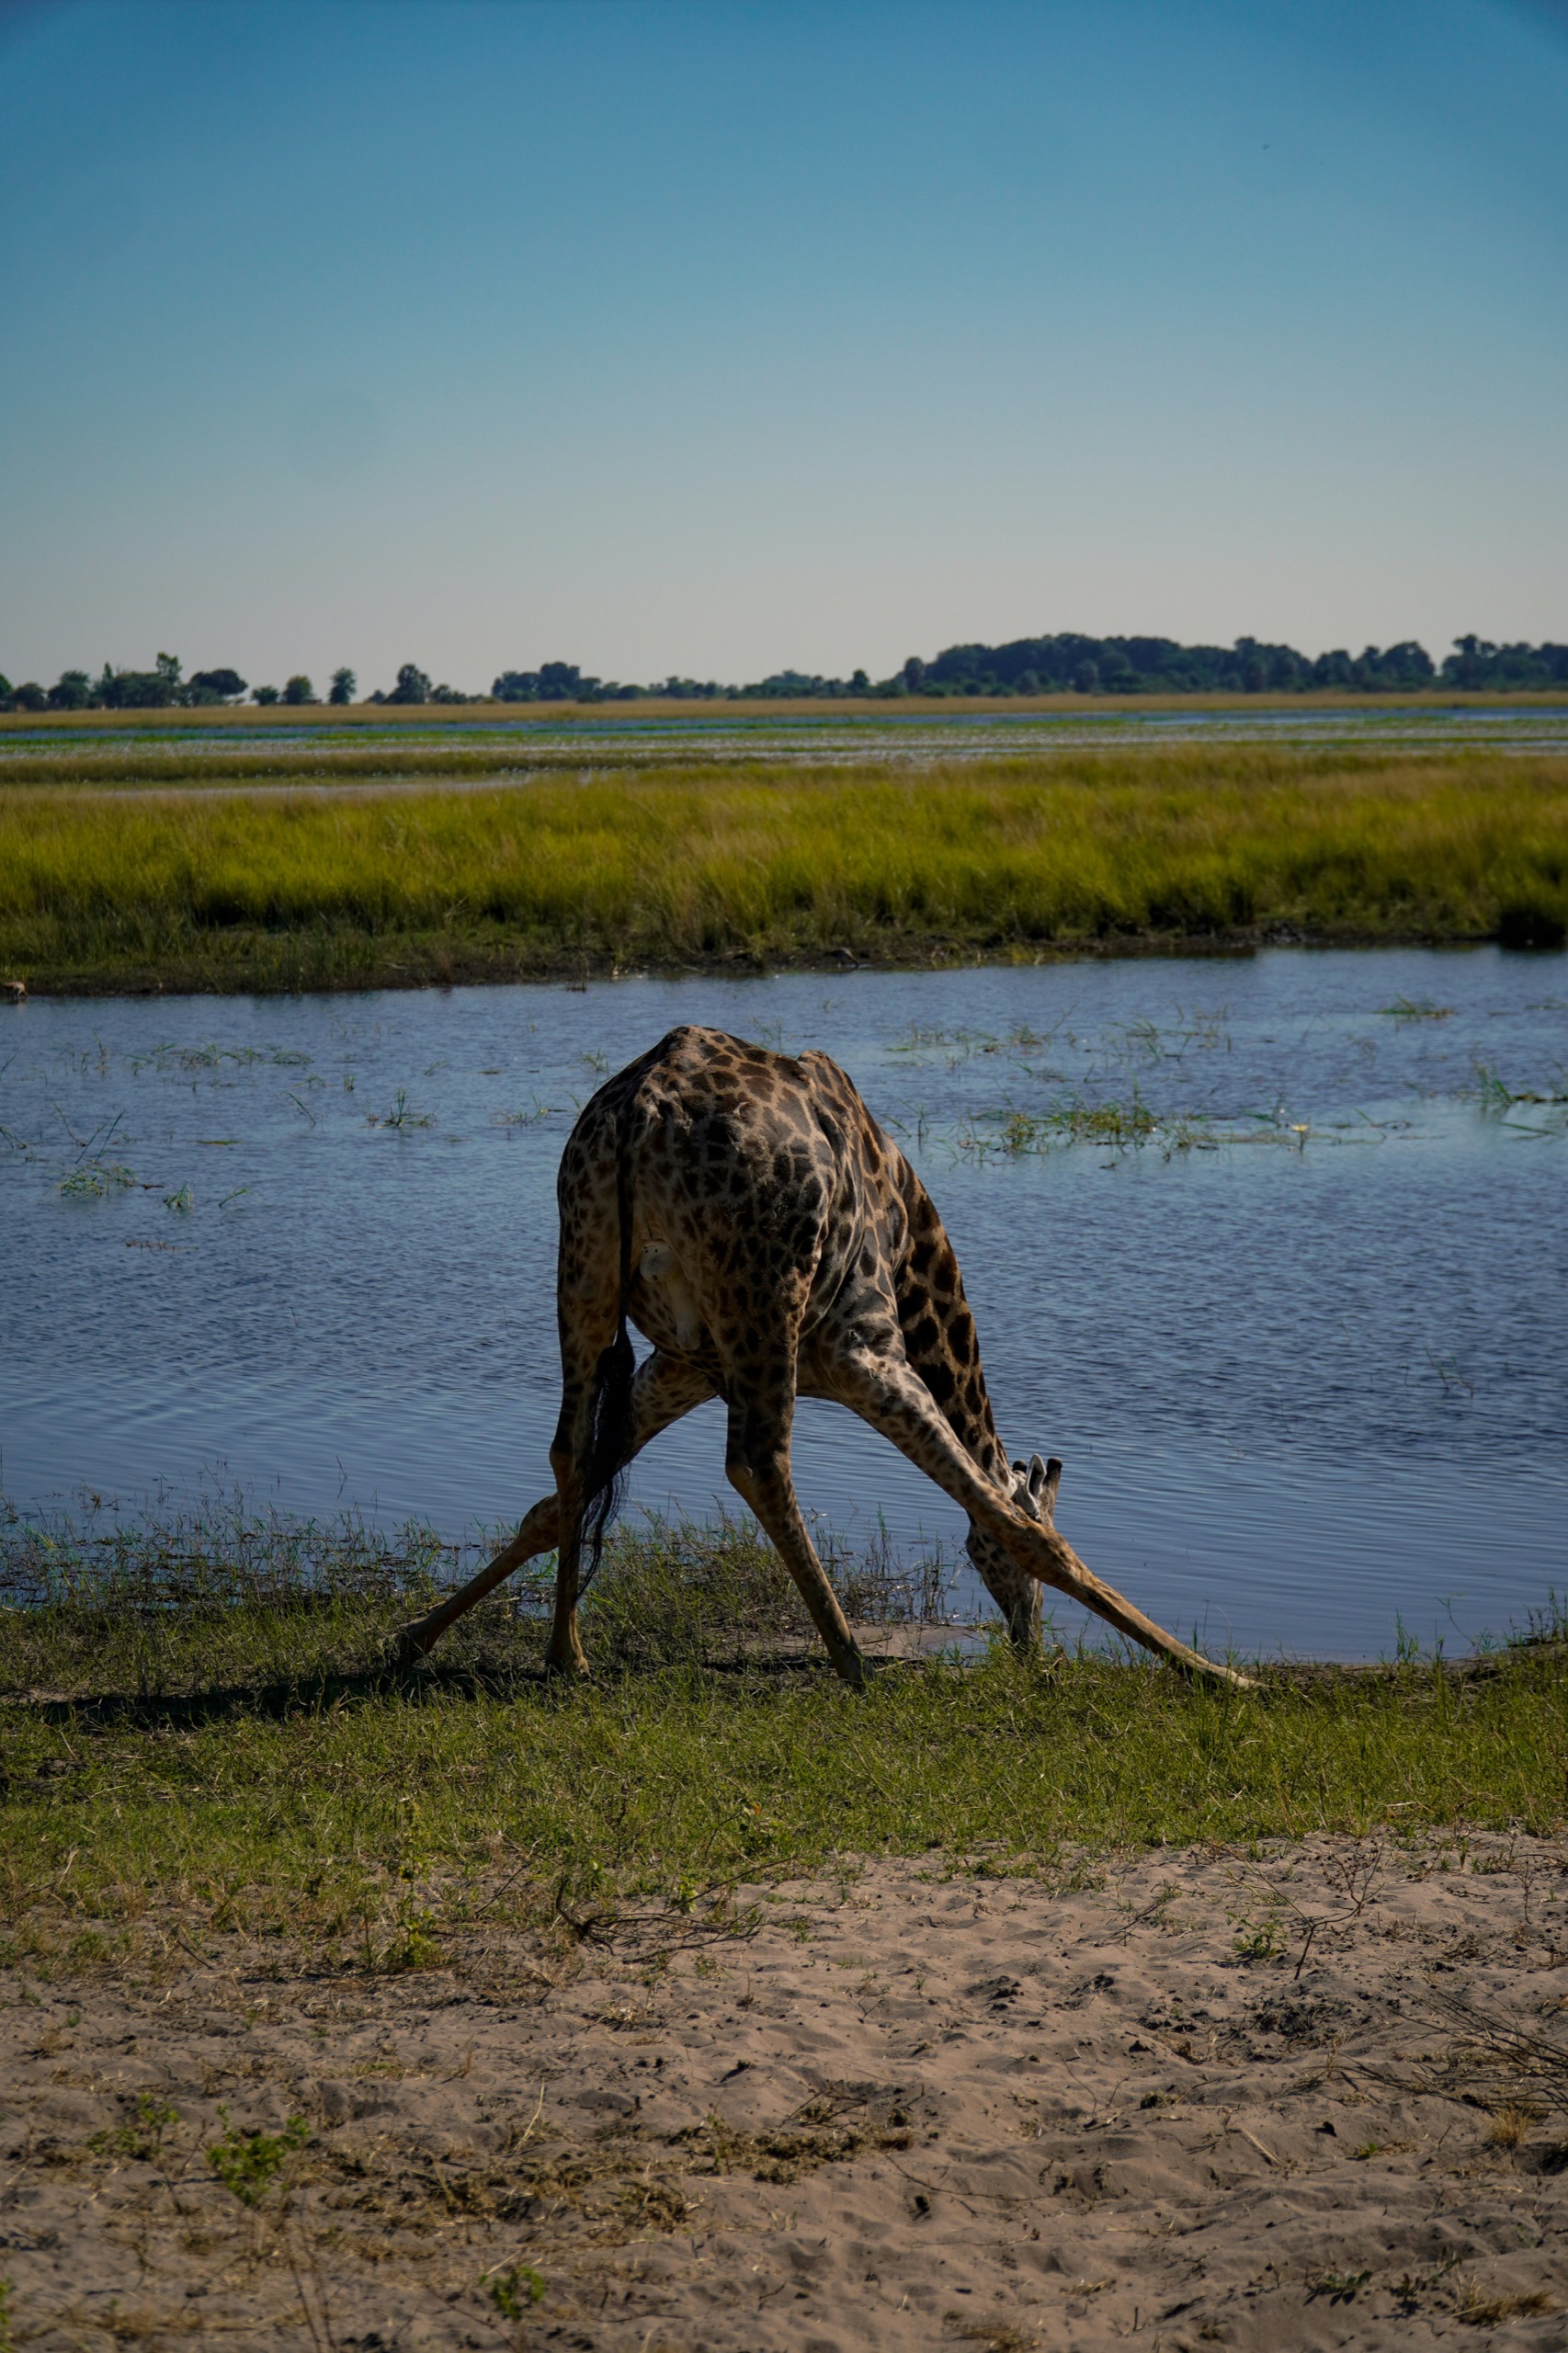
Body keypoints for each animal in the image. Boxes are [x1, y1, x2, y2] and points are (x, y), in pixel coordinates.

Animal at [394, 1025, 1247, 1687]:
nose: (1026, 1642)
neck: (916, 1264)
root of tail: (639, 1112)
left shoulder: (686, 1365)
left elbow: (548, 1506)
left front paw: (415, 1635)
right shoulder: (862, 1346)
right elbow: (1016, 1522)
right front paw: (1221, 1675)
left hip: (587, 1271)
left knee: (569, 1450)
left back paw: (567, 1654)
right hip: (767, 1298)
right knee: (759, 1461)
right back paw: (851, 1659)